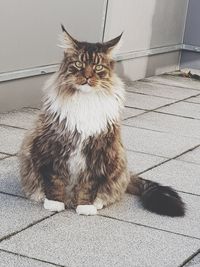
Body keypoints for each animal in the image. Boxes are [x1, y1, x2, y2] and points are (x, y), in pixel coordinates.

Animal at [19, 25, 185, 218]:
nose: (87, 77)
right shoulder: (52, 147)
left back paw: (97, 203)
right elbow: (54, 180)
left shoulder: (99, 151)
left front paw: (85, 207)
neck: (85, 101)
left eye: (98, 67)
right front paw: (55, 203)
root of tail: (127, 174)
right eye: (79, 64)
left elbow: (90, 185)